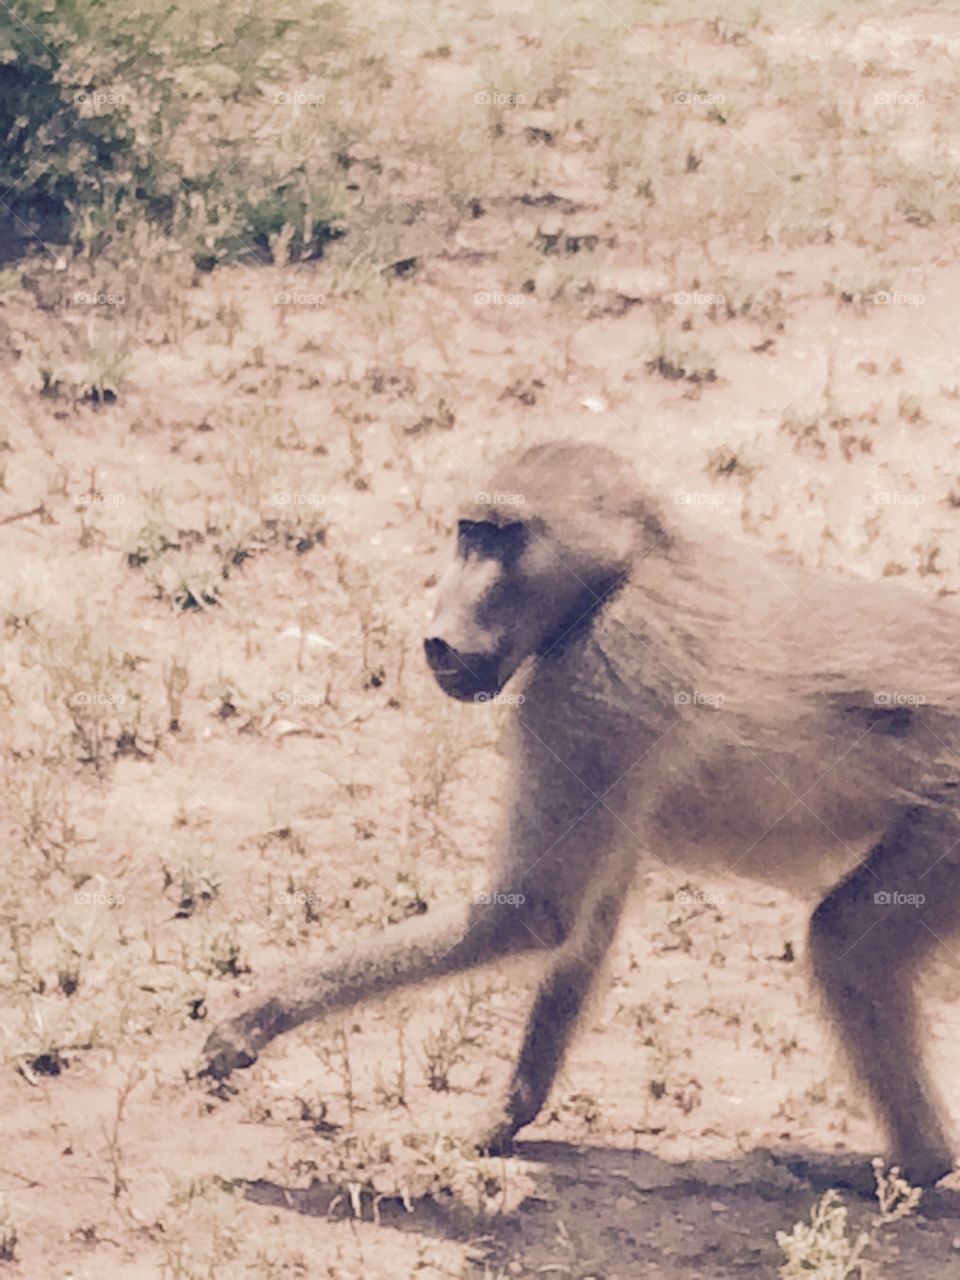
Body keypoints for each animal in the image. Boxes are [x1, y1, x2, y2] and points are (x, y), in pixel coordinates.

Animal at [201, 439, 960, 1186]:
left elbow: (533, 913)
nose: (439, 641)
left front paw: (261, 1014)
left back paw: (911, 1167)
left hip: (947, 819)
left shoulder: (588, 689)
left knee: (845, 941)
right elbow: (587, 923)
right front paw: (506, 1114)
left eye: (503, 538)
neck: (628, 570)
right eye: (468, 533)